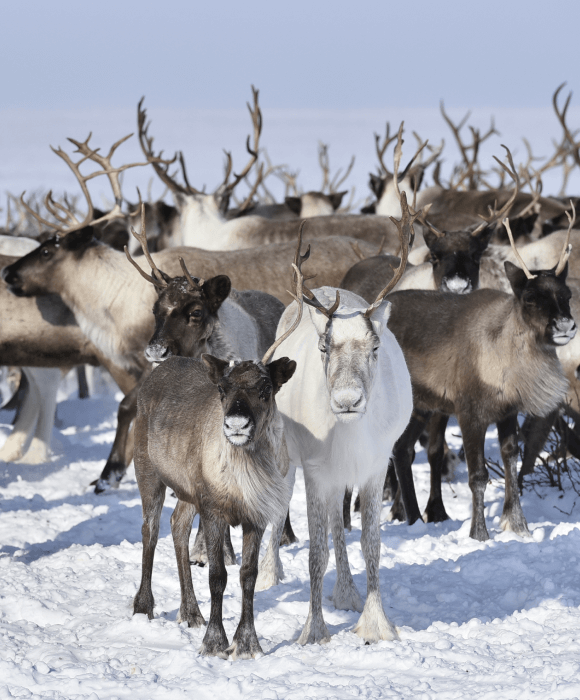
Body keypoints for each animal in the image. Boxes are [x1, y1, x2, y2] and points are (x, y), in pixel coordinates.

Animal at [131, 255, 305, 660]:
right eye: (223, 389)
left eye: (266, 389)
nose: (236, 424)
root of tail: (161, 368)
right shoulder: (213, 509)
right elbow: (217, 575)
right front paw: (214, 641)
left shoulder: (255, 516)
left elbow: (247, 576)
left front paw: (247, 642)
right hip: (148, 474)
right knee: (150, 529)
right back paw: (144, 605)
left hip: (186, 490)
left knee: (177, 525)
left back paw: (189, 611)